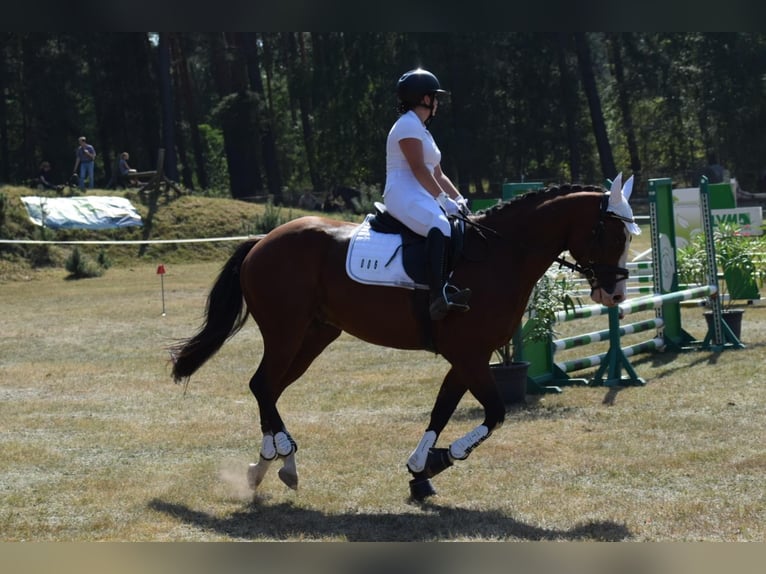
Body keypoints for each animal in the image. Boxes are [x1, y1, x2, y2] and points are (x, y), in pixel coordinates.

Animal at [170, 178, 640, 502]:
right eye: (610, 234)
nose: (615, 294)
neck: (499, 255)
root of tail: (262, 240)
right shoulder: (471, 356)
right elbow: (495, 413)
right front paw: (438, 461)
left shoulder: (467, 357)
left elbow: (443, 411)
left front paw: (422, 471)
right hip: (286, 331)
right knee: (263, 385)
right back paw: (284, 459)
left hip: (315, 336)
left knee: (269, 389)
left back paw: (265, 465)